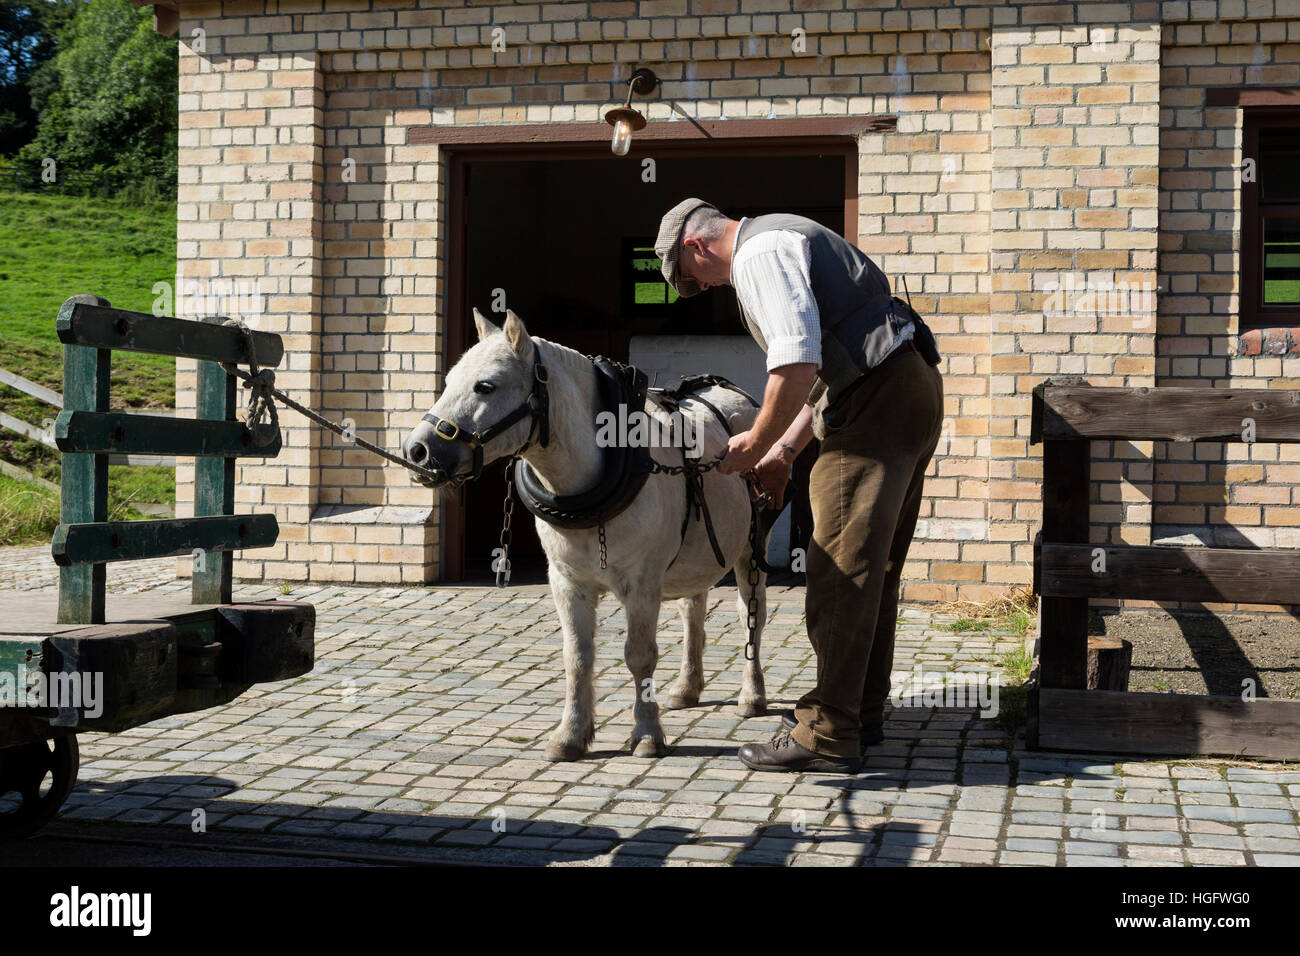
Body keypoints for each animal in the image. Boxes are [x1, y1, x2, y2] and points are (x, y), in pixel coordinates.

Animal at [405, 310, 764, 759]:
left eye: (485, 385)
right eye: (450, 379)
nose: (417, 451)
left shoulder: (643, 583)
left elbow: (640, 656)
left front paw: (647, 734)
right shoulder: (566, 582)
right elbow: (577, 656)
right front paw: (571, 735)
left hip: (750, 550)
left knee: (751, 616)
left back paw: (752, 696)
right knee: (692, 610)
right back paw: (687, 688)